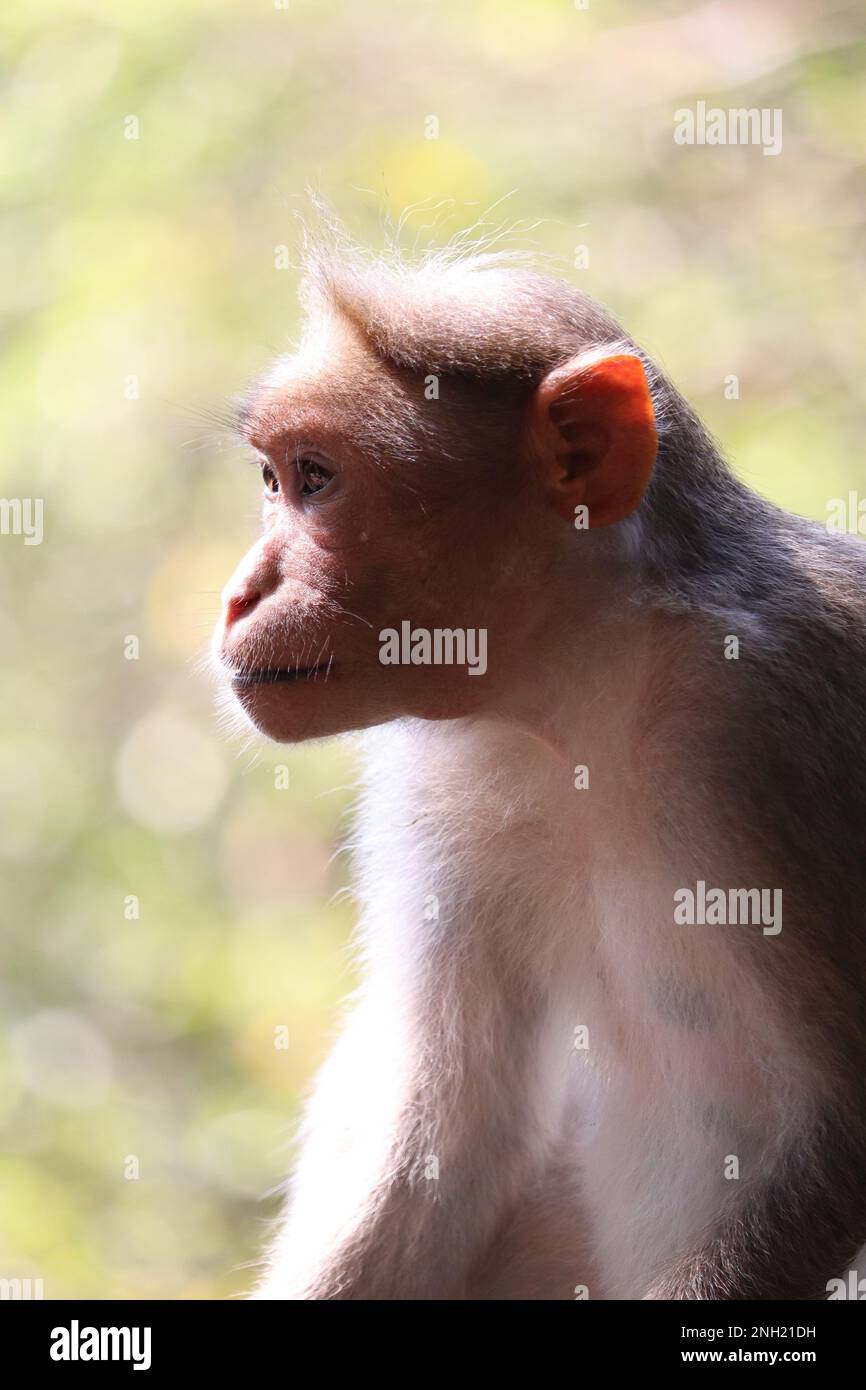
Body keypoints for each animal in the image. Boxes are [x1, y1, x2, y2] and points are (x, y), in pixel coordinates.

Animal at [212, 227, 866, 1300]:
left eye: (316, 479)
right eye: (272, 480)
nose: (238, 594)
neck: (577, 694)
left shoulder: (774, 716)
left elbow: (843, 1125)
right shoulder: (438, 781)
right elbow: (446, 1137)